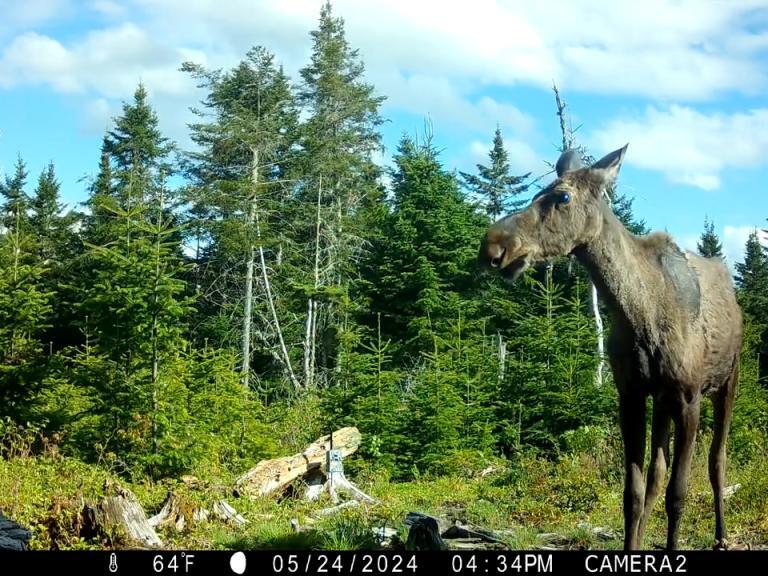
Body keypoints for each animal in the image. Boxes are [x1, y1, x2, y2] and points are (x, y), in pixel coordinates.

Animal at [479, 145, 742, 550]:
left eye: (562, 197)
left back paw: (721, 536)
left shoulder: (689, 397)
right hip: (661, 400)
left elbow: (679, 493)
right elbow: (632, 493)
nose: (493, 245)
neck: (640, 316)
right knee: (657, 472)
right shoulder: (630, 394)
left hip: (728, 380)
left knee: (717, 461)